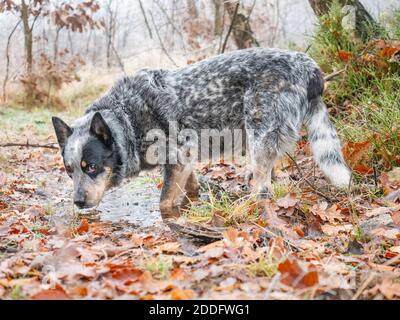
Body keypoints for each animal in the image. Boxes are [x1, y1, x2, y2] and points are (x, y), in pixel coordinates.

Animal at [52, 48, 350, 220]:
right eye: (69, 170)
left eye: (91, 167)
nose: (78, 202)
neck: (126, 117)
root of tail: (311, 68)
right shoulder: (184, 160)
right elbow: (191, 188)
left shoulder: (177, 157)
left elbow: (164, 203)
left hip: (259, 138)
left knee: (263, 189)